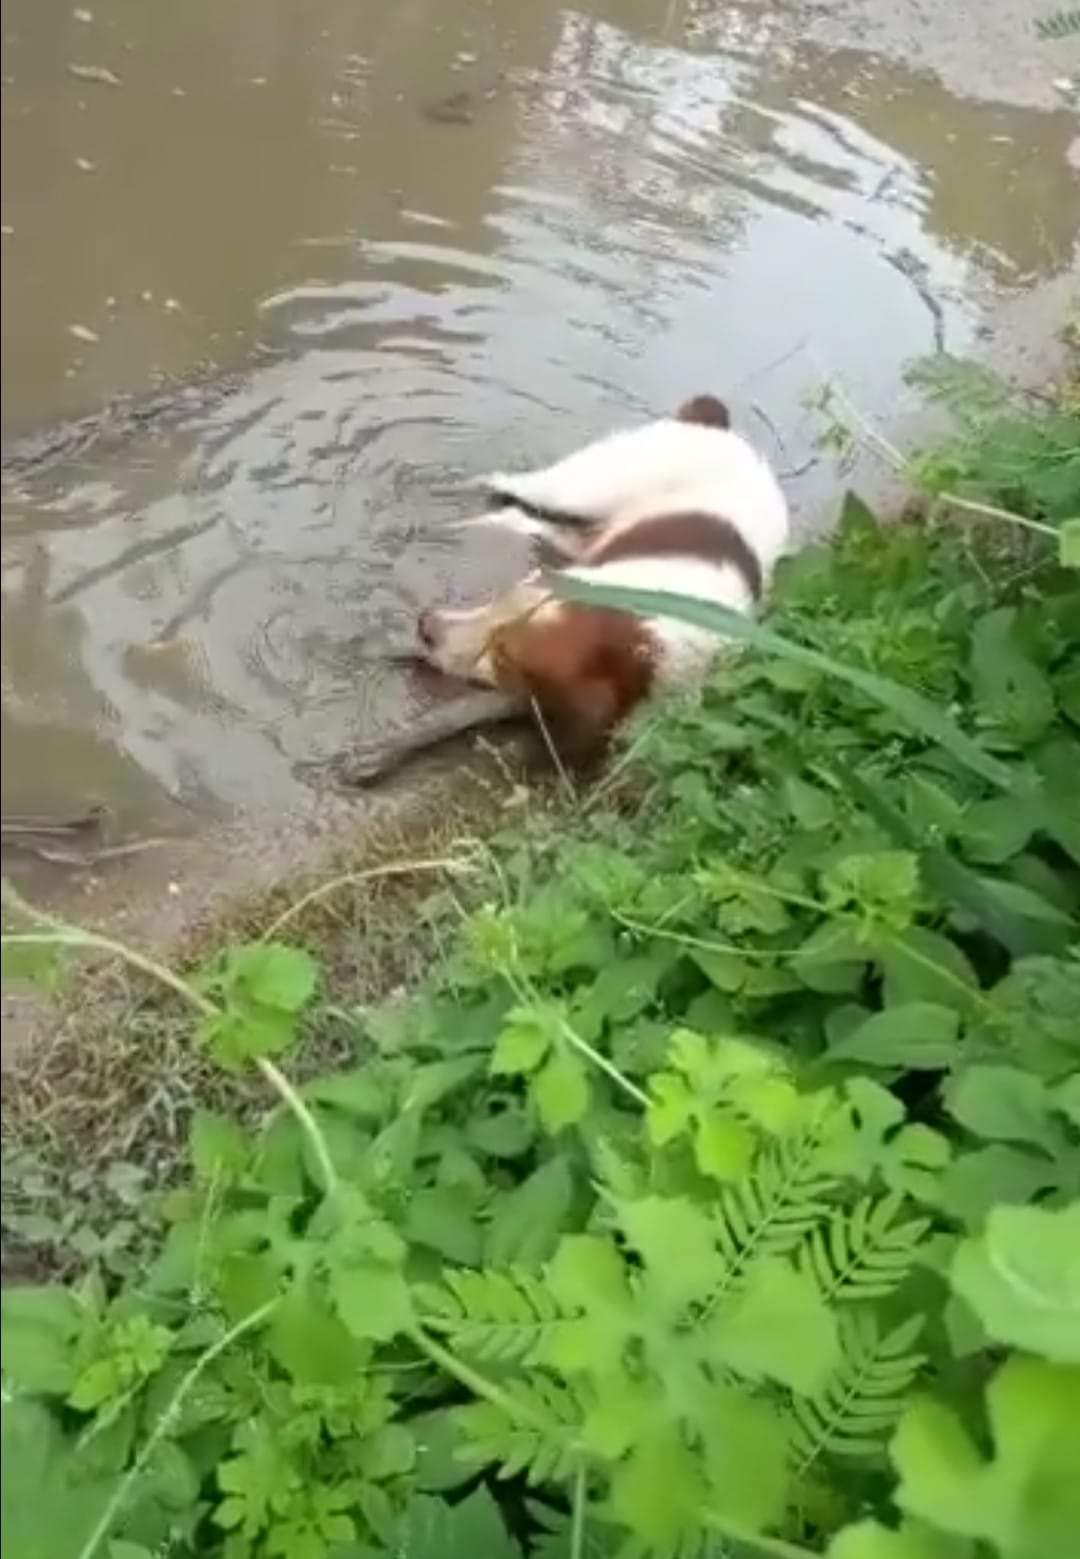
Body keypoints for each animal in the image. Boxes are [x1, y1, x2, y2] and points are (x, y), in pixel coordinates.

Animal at [341, 399, 788, 791]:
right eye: (499, 596)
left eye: (503, 656)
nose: (425, 625)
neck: (641, 631)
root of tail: (718, 425)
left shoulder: (541, 692)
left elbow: (458, 712)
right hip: (583, 486)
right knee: (506, 487)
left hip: (580, 524)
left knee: (519, 519)